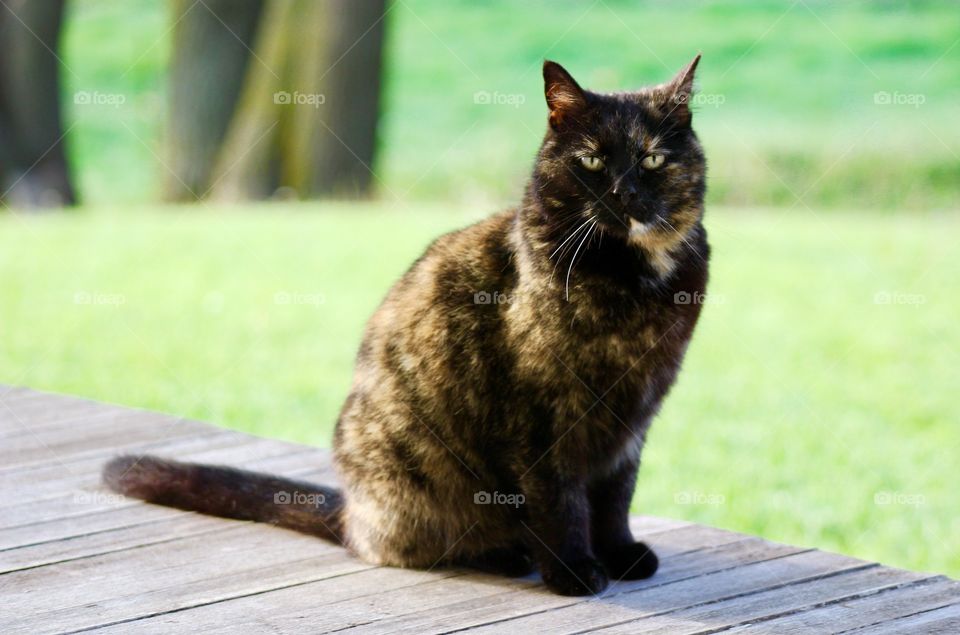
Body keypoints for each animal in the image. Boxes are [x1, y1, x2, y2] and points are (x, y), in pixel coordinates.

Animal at [105, 54, 708, 596]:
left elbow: (615, 495)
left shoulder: (634, 414)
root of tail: (351, 512)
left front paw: (620, 553)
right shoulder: (541, 412)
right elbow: (561, 498)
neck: (637, 277)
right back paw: (505, 554)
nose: (626, 193)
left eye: (652, 160)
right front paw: (574, 570)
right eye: (592, 162)